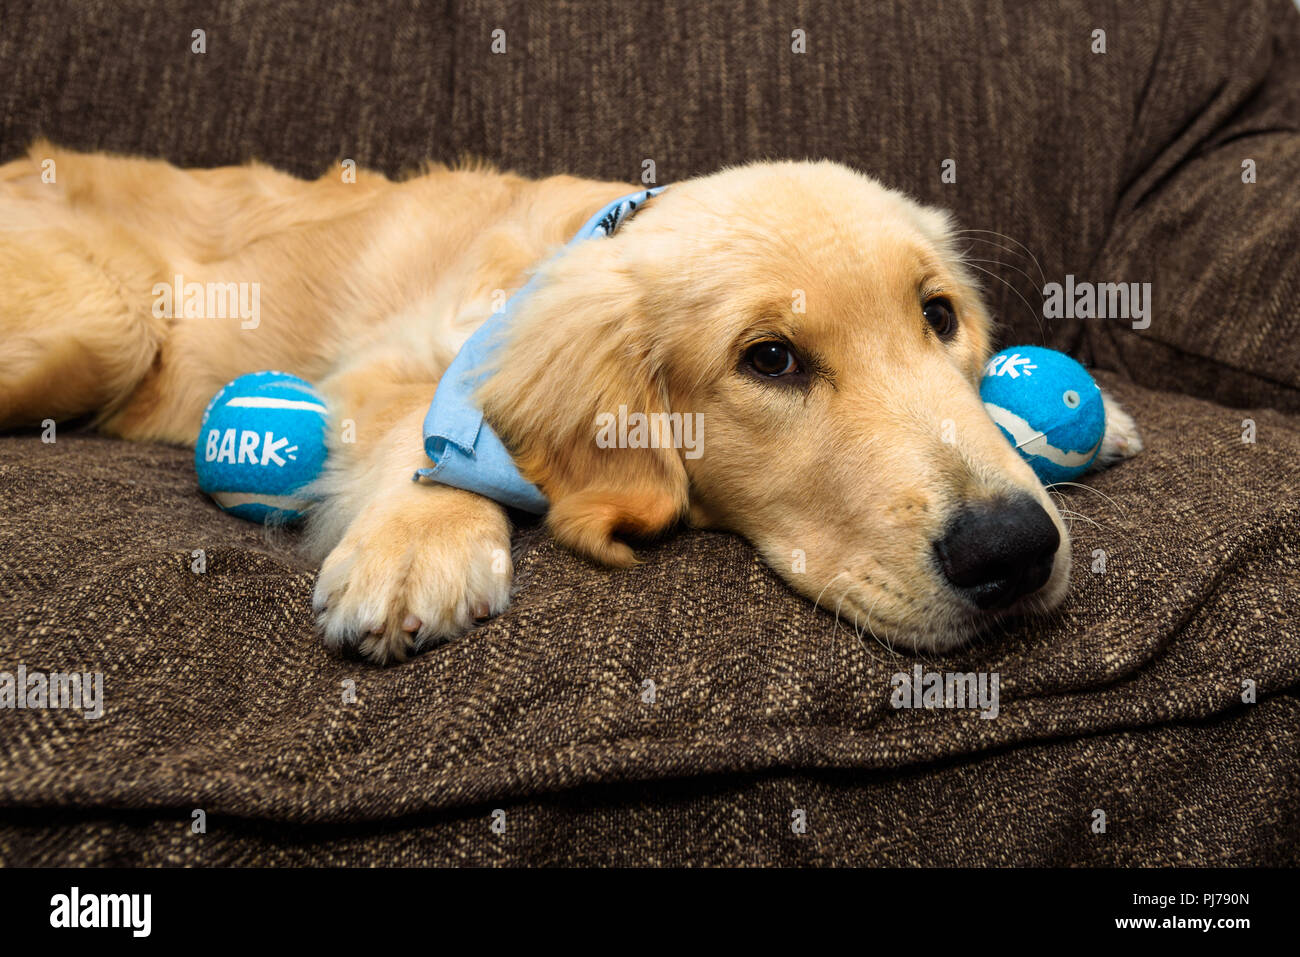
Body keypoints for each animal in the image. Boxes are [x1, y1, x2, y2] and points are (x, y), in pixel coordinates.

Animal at [0, 145, 1138, 660]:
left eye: (939, 317)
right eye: (770, 360)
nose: (1012, 549)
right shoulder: (376, 368)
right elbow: (423, 430)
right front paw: (420, 539)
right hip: (108, 321)